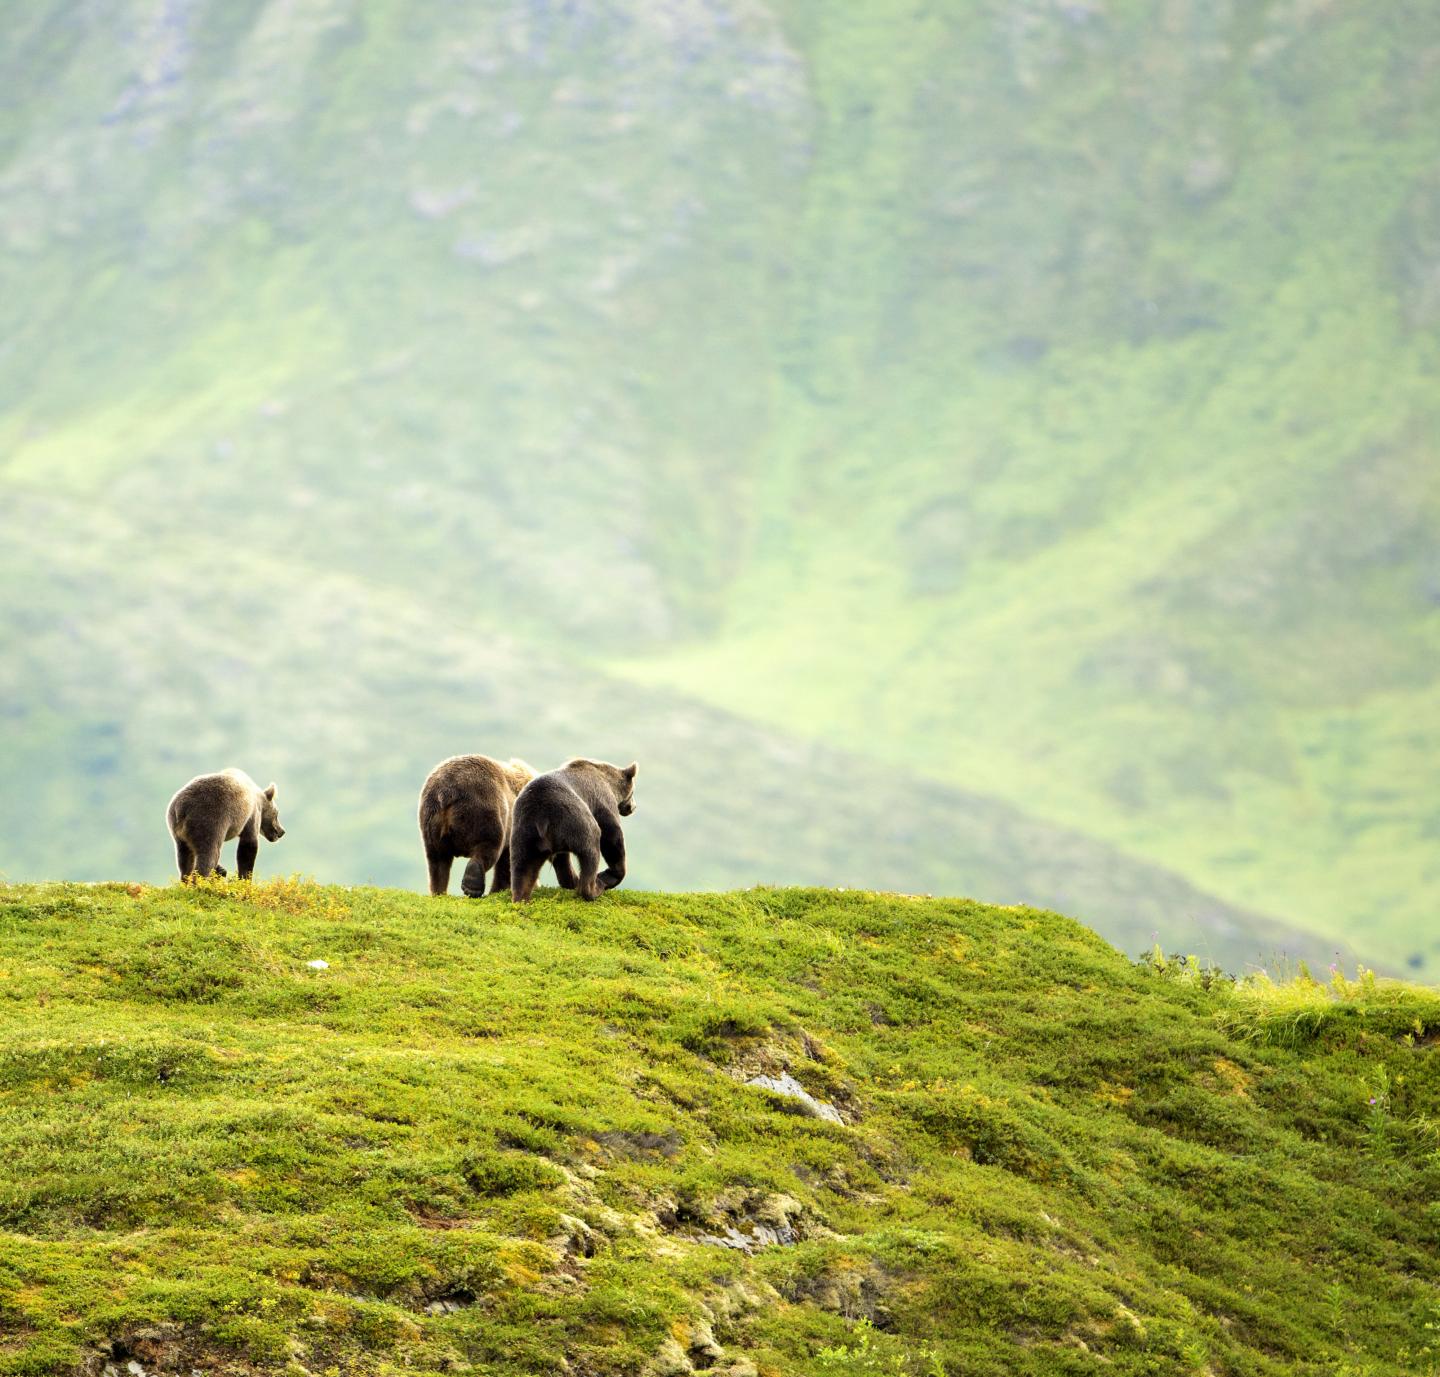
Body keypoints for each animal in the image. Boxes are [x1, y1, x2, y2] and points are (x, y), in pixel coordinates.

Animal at [418, 755, 536, 897]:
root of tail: (446, 792)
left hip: (431, 820)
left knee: (437, 861)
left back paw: (439, 892)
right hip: (484, 806)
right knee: (488, 845)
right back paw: (472, 887)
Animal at [509, 758, 637, 902]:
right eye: (633, 792)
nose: (633, 807)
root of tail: (542, 817)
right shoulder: (602, 799)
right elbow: (612, 835)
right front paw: (609, 875)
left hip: (525, 831)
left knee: (523, 867)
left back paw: (522, 898)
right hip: (574, 818)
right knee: (591, 848)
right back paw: (593, 888)